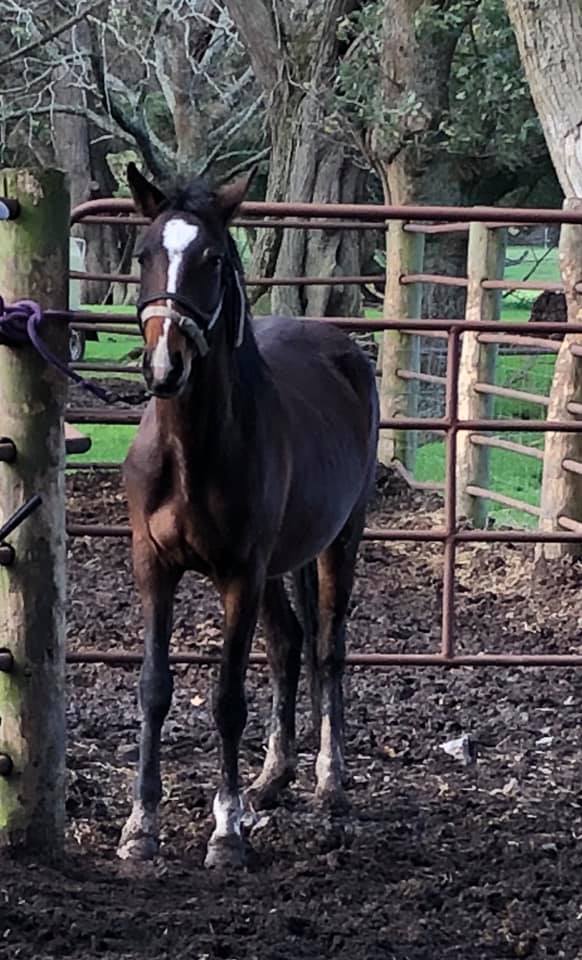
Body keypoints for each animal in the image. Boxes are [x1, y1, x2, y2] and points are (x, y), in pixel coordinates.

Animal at [117, 162, 379, 868]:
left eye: (212, 258)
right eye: (144, 253)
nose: (165, 365)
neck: (193, 451)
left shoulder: (240, 573)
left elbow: (228, 698)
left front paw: (226, 832)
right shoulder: (153, 566)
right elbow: (154, 687)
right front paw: (140, 825)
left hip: (337, 543)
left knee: (326, 647)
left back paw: (328, 782)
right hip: (277, 567)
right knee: (288, 643)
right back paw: (272, 777)